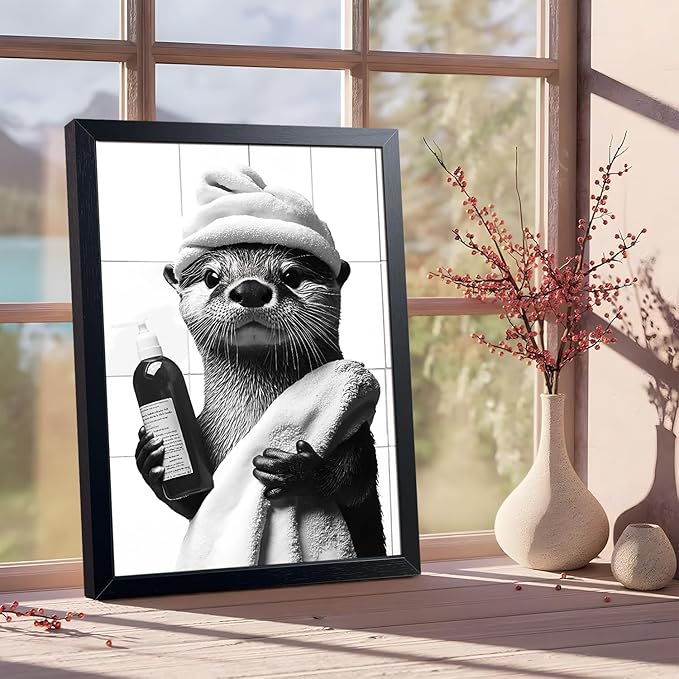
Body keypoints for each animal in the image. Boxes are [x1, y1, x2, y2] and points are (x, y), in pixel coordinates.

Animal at [134, 242, 386, 559]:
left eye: (291, 275)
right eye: (211, 277)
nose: (251, 289)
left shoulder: (358, 430)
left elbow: (355, 480)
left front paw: (297, 471)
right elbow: (197, 503)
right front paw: (150, 457)